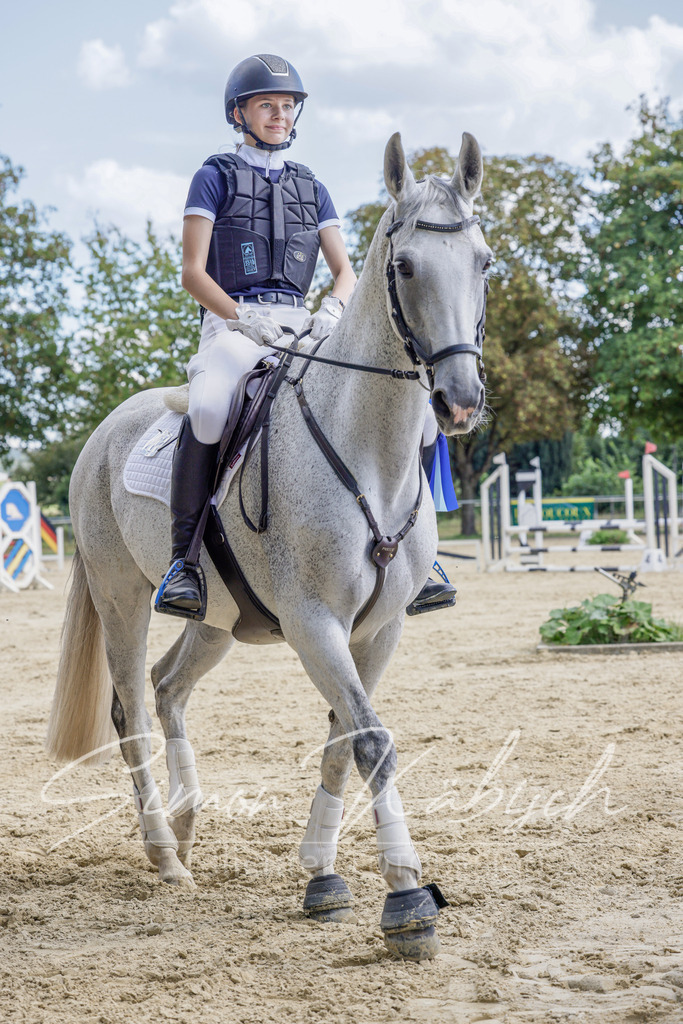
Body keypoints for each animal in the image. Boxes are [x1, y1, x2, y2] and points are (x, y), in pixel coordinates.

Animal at [46, 132, 491, 960]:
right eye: (405, 266)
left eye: (482, 262)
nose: (460, 401)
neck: (370, 454)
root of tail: (104, 431)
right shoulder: (316, 624)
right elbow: (370, 739)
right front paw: (406, 899)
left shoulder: (377, 631)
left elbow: (340, 737)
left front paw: (322, 878)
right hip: (122, 597)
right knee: (131, 708)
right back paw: (163, 852)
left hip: (217, 621)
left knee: (167, 687)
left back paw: (187, 825)